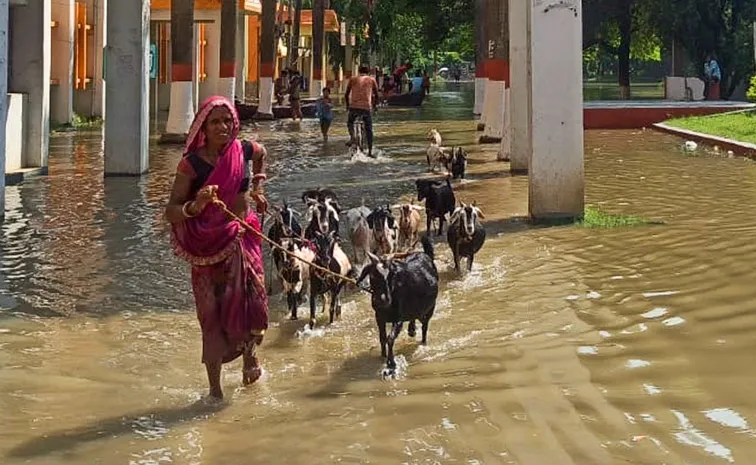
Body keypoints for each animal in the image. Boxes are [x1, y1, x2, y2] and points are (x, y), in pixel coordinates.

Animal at [358, 236, 440, 374]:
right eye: (373, 275)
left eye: (391, 275)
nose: (383, 300)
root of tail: (426, 255)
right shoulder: (379, 317)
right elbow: (382, 338)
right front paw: (383, 356)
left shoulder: (398, 319)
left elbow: (390, 338)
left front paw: (391, 363)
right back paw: (412, 330)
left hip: (429, 309)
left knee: (424, 327)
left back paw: (422, 342)